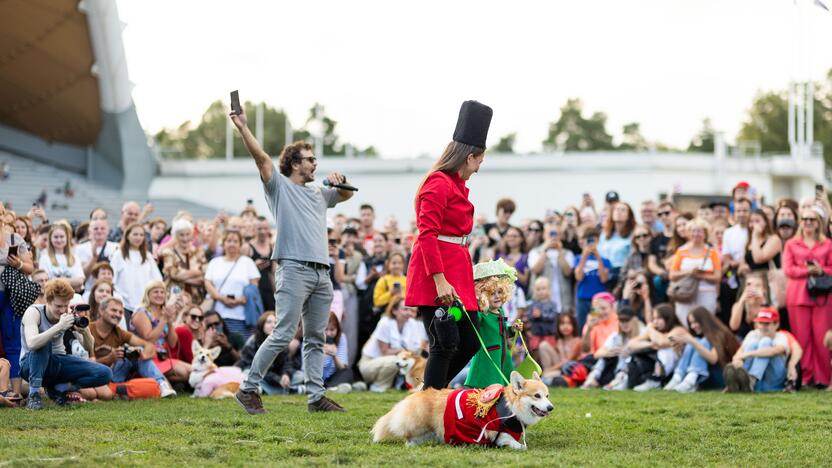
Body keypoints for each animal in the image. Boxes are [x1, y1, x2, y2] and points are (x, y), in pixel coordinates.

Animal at [374, 370, 556, 450]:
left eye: (547, 395)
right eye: (537, 396)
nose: (551, 407)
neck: (511, 407)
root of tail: (415, 395)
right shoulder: (498, 433)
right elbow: (517, 444)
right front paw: (520, 446)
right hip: (419, 423)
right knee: (408, 435)